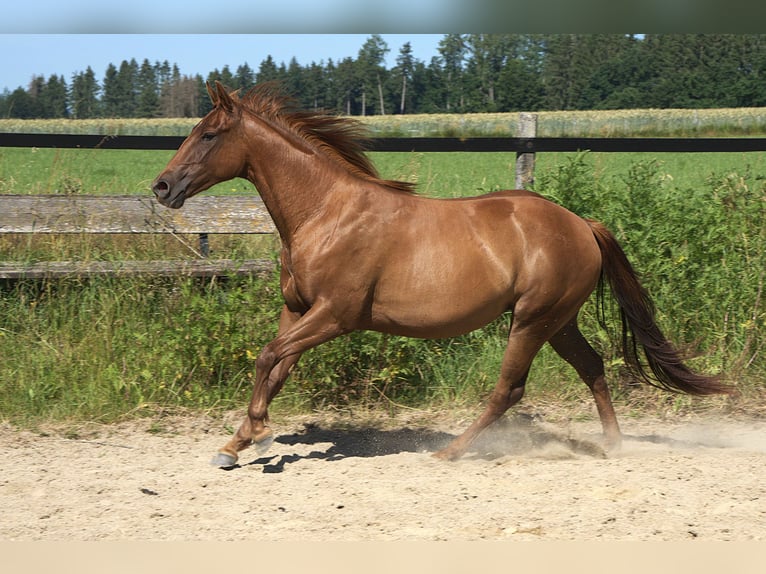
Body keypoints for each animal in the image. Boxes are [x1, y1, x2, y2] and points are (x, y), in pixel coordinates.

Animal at [152, 81, 731, 466]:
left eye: (209, 134)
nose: (161, 187)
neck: (325, 213)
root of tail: (582, 224)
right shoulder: (296, 309)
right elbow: (274, 366)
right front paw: (238, 442)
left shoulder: (335, 315)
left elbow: (268, 358)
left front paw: (257, 432)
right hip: (559, 321)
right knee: (592, 366)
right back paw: (611, 445)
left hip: (532, 320)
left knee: (509, 390)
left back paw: (451, 451)